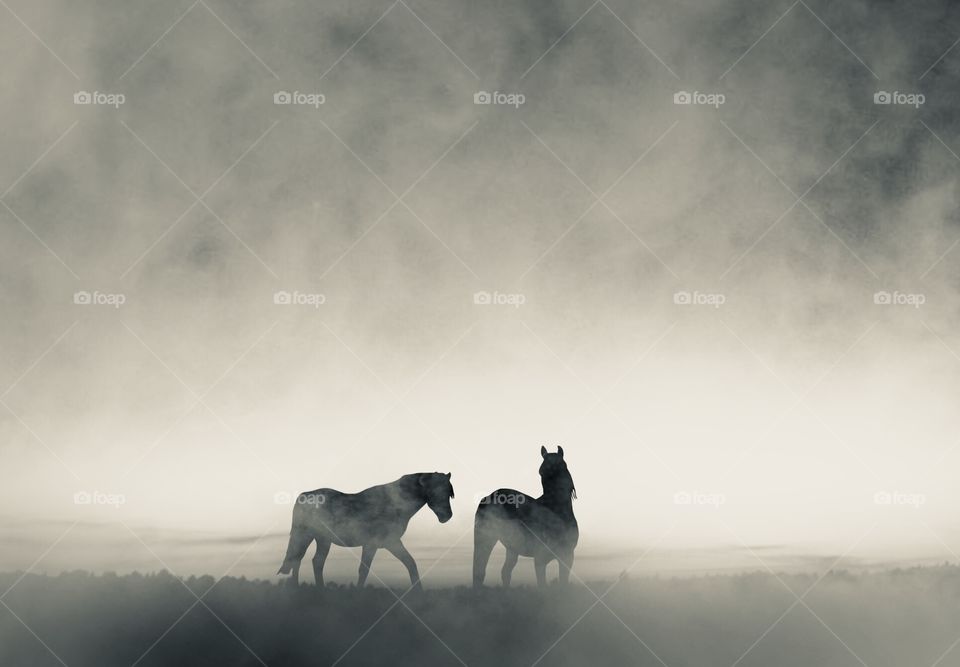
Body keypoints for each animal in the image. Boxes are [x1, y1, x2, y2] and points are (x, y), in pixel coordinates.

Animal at [277, 472, 454, 590]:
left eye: (449, 492)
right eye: (434, 491)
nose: (447, 516)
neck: (395, 503)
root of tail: (304, 495)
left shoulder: (392, 543)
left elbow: (410, 564)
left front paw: (419, 592)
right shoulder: (372, 544)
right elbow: (364, 570)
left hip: (322, 540)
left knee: (312, 561)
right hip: (305, 535)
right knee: (297, 559)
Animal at [473, 446, 578, 587]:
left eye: (561, 464)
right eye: (541, 471)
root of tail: (489, 496)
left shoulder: (567, 557)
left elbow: (563, 582)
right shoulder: (540, 559)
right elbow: (542, 584)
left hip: (512, 548)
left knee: (505, 572)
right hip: (485, 539)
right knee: (479, 570)